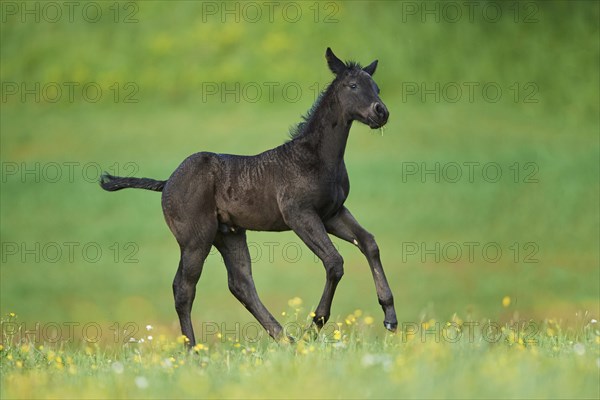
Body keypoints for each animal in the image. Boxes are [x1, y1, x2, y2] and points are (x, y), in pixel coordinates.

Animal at [101, 47, 396, 346]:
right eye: (353, 85)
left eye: (376, 87)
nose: (381, 112)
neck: (317, 158)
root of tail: (167, 182)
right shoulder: (299, 214)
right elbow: (335, 262)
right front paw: (314, 326)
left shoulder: (332, 213)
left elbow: (369, 243)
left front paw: (389, 317)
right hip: (195, 239)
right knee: (184, 288)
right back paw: (194, 349)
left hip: (228, 234)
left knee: (241, 283)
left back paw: (285, 339)